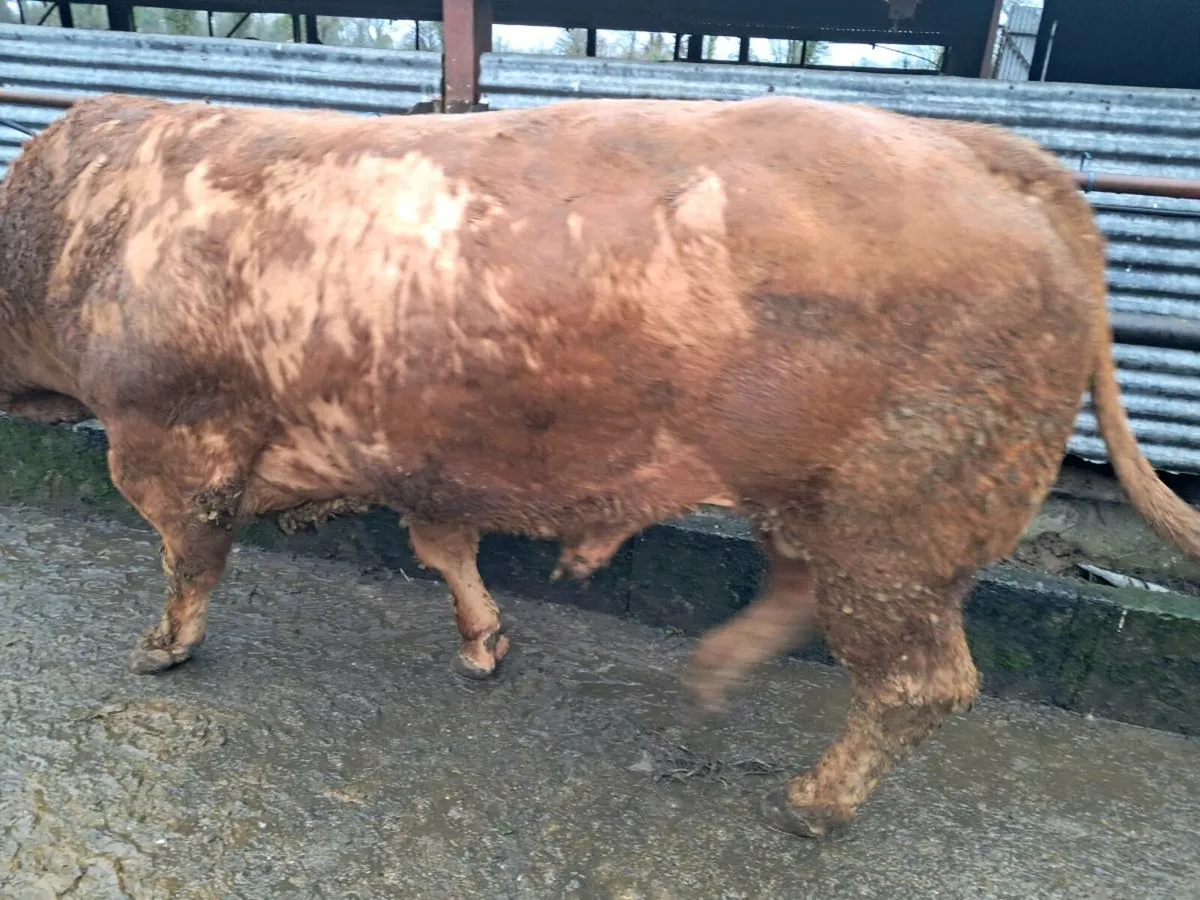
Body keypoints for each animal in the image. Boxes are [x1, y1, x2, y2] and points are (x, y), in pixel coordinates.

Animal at [3, 92, 1198, 839]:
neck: (71, 231)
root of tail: (981, 147)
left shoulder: (169, 435)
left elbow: (192, 554)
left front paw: (159, 652)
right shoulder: (428, 454)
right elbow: (443, 546)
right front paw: (485, 647)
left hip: (901, 518)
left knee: (920, 680)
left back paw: (812, 804)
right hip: (811, 499)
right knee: (806, 597)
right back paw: (712, 678)